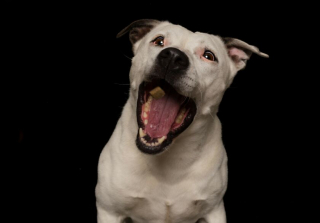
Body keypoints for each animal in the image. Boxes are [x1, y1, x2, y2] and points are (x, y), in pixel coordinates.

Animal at [95, 19, 268, 223]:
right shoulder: (109, 211)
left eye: (209, 56)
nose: (173, 56)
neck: (167, 160)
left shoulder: (214, 211)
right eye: (159, 41)